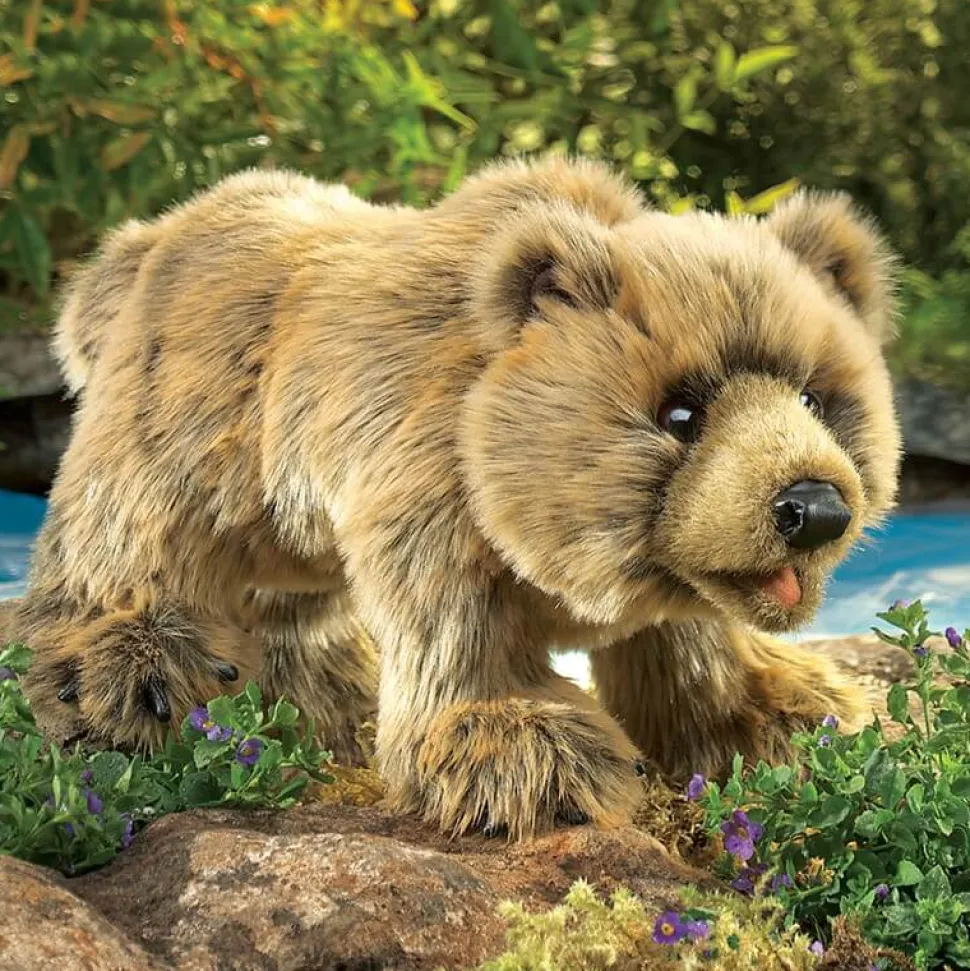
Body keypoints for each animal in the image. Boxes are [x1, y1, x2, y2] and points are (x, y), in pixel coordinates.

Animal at [12, 155, 901, 839]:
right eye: (680, 411)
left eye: (816, 396)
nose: (813, 508)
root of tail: (143, 240)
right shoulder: (427, 482)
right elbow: (458, 633)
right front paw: (534, 754)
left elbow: (690, 649)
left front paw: (796, 711)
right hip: (192, 413)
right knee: (128, 533)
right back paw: (127, 676)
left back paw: (331, 706)